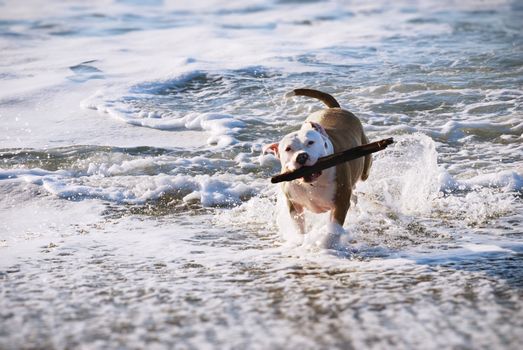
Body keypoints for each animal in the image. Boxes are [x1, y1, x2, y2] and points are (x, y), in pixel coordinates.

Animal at [266, 89, 372, 237]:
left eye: (311, 142)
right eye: (288, 149)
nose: (301, 157)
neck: (312, 183)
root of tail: (335, 109)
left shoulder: (340, 204)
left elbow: (334, 228)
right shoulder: (294, 206)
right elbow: (299, 228)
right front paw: (301, 240)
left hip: (365, 167)